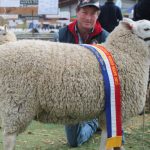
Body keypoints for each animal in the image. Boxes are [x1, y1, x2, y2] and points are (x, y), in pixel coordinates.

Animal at [0, 18, 149, 150]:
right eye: (146, 28)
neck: (122, 54)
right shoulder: (114, 110)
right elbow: (107, 141)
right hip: (17, 101)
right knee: (9, 138)